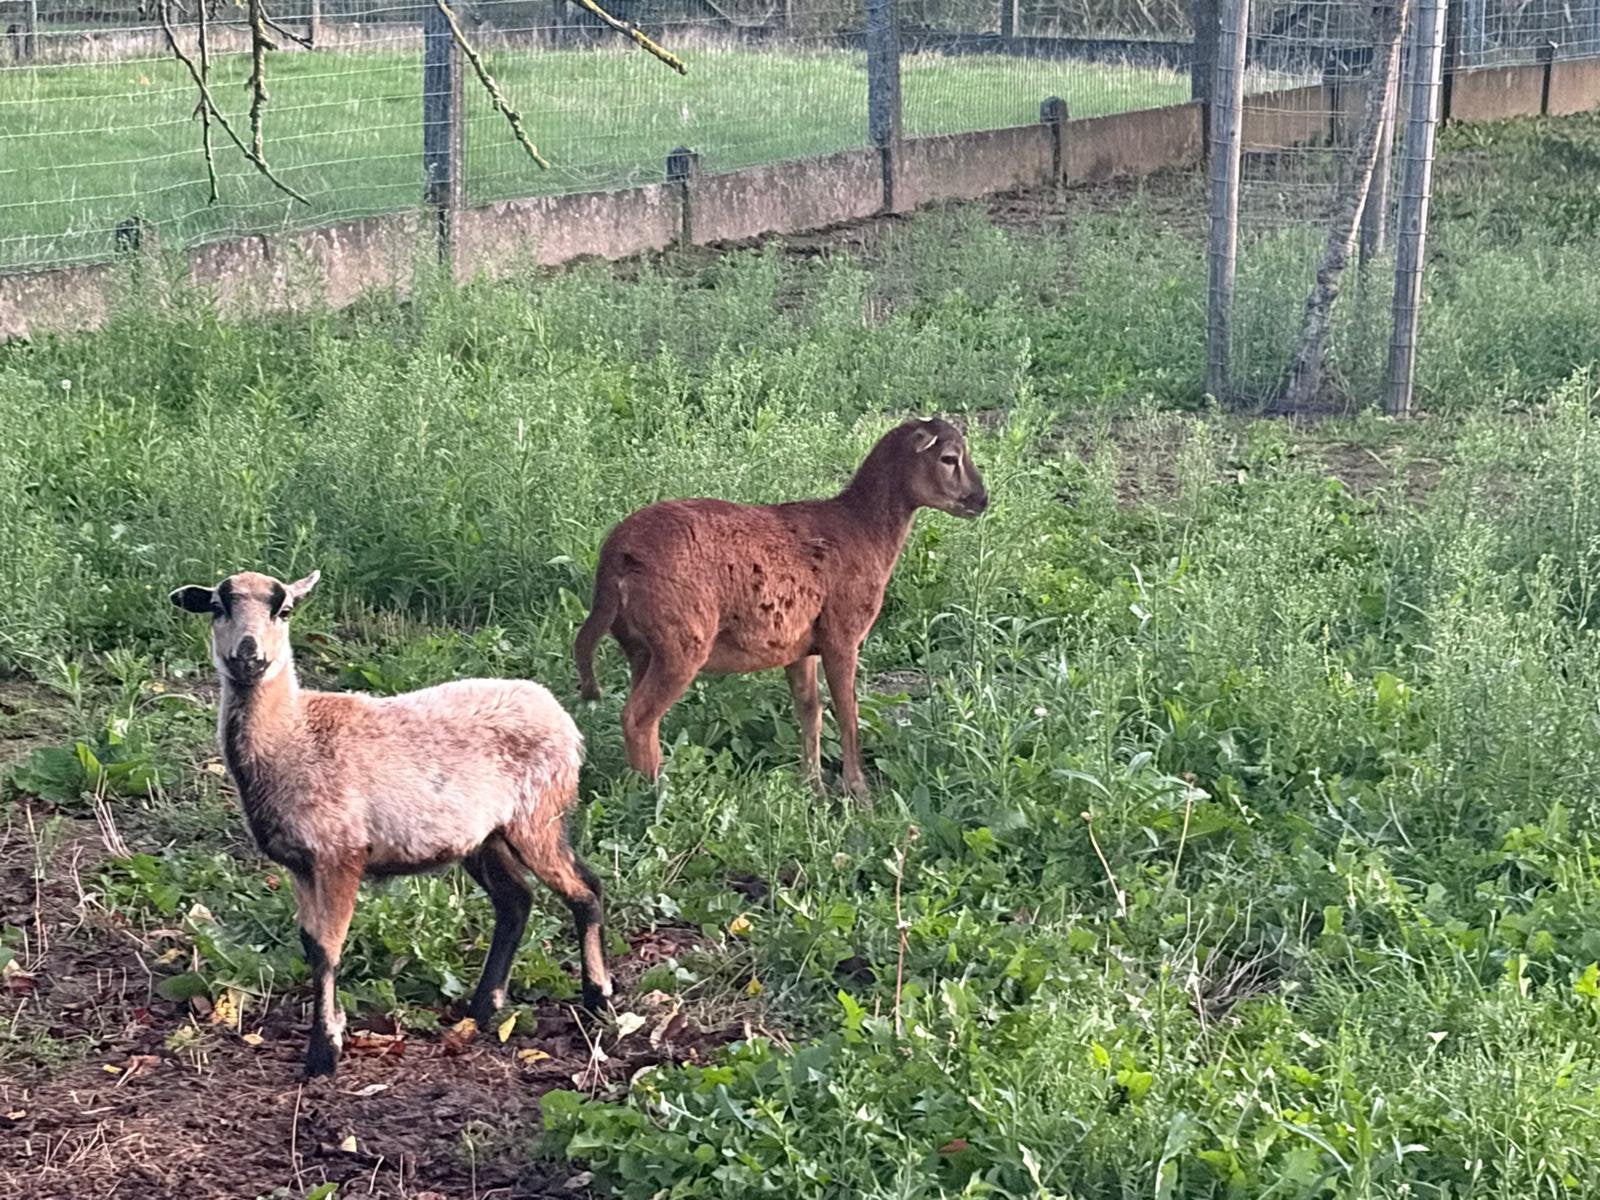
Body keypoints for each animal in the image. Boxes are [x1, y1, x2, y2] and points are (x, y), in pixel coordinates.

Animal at [169, 569, 612, 1079]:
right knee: (516, 902)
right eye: (217, 607)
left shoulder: (340, 851)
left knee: (585, 890)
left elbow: (327, 949)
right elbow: (309, 944)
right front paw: (328, 1038)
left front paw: (324, 1053)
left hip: (539, 814)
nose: (248, 654)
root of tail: (560, 716)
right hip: (485, 837)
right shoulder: (299, 863)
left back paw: (598, 1000)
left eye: (284, 610)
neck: (293, 733)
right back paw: (482, 1009)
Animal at [575, 417, 988, 801]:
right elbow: (847, 714)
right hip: (681, 643)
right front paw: (858, 792)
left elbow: (810, 711)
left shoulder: (800, 646)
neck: (865, 531)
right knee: (637, 717)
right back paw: (657, 793)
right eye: (949, 458)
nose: (981, 499)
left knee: (642, 717)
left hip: (641, 647)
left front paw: (813, 787)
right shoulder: (843, 636)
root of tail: (615, 559)